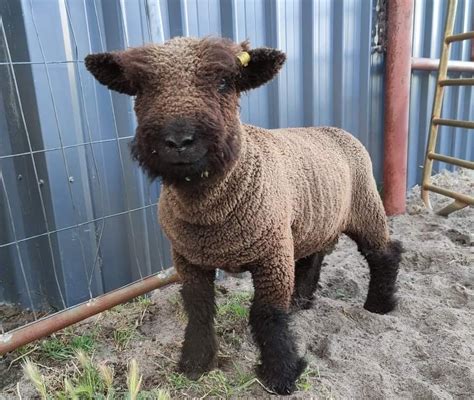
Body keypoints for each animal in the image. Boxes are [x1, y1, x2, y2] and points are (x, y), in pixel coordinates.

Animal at [83, 36, 402, 394]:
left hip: (365, 207)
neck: (211, 216)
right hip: (313, 220)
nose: (178, 141)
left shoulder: (272, 254)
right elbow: (198, 309)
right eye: (141, 88)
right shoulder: (188, 259)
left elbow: (268, 314)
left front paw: (281, 374)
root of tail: (336, 130)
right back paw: (301, 301)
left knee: (385, 253)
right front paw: (196, 363)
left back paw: (378, 305)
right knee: (314, 255)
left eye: (225, 82)